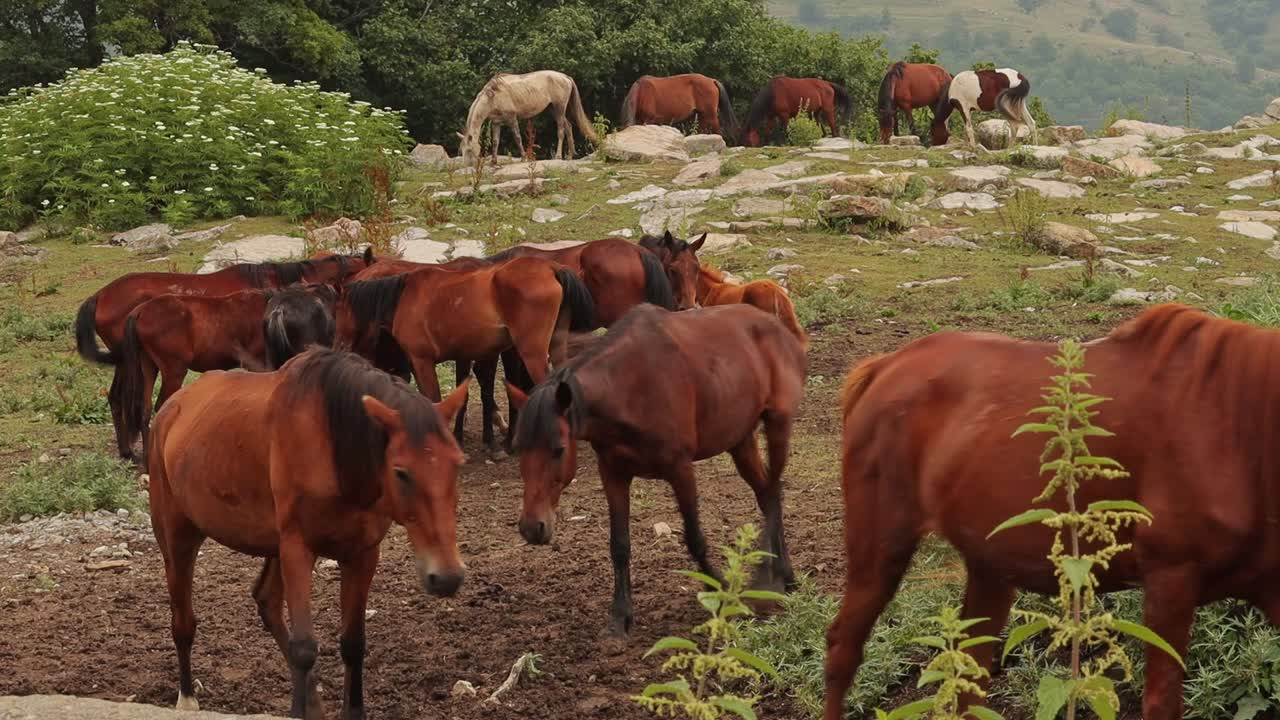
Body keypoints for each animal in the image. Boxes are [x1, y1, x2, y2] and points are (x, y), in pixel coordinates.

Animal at [147, 348, 469, 719]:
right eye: (401, 472)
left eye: (458, 463)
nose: (446, 576)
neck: (333, 447)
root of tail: (169, 409)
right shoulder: (298, 549)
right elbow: (304, 647)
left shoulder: (362, 554)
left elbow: (353, 643)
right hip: (178, 539)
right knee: (183, 621)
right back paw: (186, 697)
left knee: (267, 602)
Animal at [457, 70, 598, 164]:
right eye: (462, 150)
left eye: (469, 150)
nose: (467, 166)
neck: (492, 97)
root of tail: (565, 77)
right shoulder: (496, 122)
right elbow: (495, 141)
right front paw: (493, 161)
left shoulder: (511, 118)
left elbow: (517, 137)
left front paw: (524, 157)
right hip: (552, 109)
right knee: (568, 126)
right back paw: (570, 155)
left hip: (559, 108)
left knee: (561, 130)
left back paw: (559, 156)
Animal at [507, 303, 806, 636]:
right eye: (517, 446)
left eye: (559, 449)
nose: (532, 527)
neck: (630, 386)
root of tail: (779, 328)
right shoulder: (613, 473)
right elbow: (619, 544)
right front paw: (620, 615)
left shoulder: (680, 469)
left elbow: (695, 539)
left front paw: (720, 589)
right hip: (740, 441)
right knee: (768, 493)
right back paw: (783, 575)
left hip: (778, 424)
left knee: (774, 493)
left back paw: (771, 576)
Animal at [824, 304, 1280, 720]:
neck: (1240, 427)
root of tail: (885, 366)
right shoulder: (1171, 581)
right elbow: (1162, 704)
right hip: (881, 542)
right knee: (843, 648)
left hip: (988, 565)